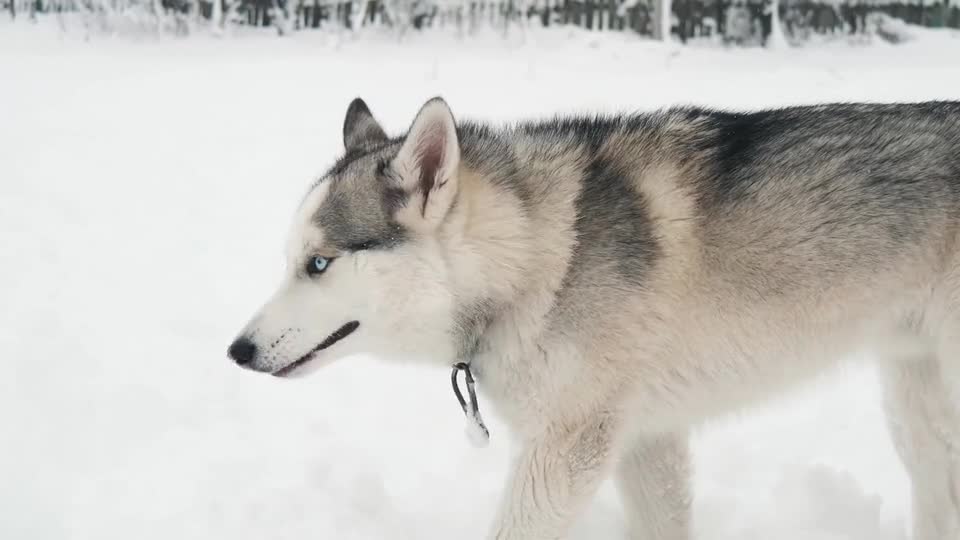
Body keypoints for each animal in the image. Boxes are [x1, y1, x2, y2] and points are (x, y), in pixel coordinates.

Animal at [229, 98, 960, 540]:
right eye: (292, 260)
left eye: (319, 264)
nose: (238, 351)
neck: (537, 258)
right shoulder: (645, 440)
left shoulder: (567, 451)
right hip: (917, 408)